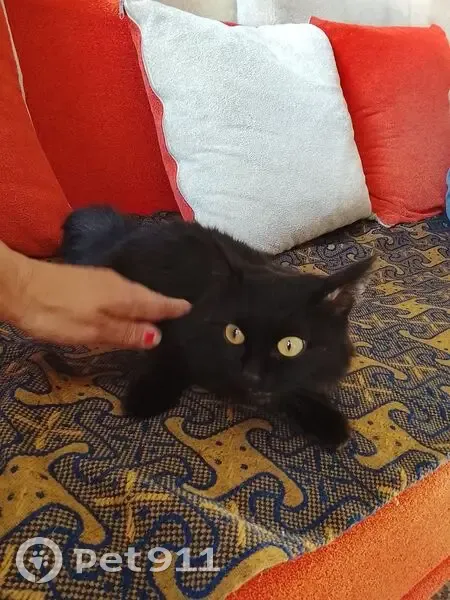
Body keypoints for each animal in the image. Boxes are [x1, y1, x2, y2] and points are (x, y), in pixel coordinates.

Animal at [61, 206, 373, 449]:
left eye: (290, 345)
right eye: (234, 334)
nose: (250, 373)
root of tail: (127, 233)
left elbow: (295, 388)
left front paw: (327, 421)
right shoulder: (174, 322)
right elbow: (167, 354)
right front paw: (146, 398)